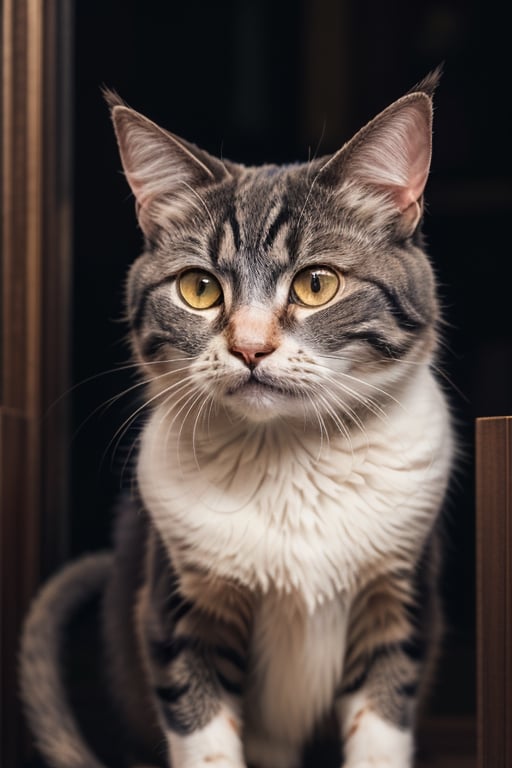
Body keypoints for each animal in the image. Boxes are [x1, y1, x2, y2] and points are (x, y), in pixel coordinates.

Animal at [20, 70, 452, 768]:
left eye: (316, 284)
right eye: (199, 288)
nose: (250, 348)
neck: (290, 459)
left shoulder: (396, 595)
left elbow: (381, 726)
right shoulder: (182, 606)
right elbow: (204, 735)